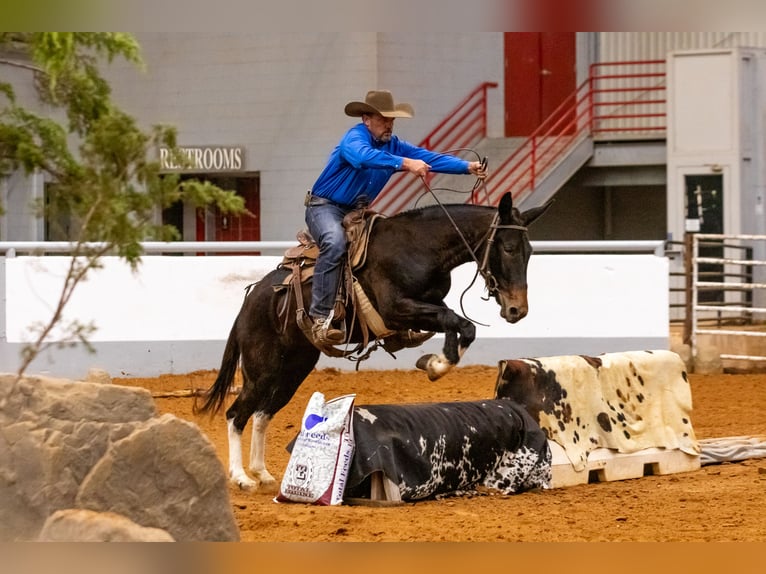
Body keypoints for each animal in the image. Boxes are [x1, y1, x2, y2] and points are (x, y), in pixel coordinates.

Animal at [195, 192, 550, 490]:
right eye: (508, 248)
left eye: (530, 251)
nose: (517, 310)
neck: (419, 246)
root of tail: (252, 298)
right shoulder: (397, 309)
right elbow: (458, 321)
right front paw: (437, 365)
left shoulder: (427, 308)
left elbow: (459, 325)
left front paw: (434, 362)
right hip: (261, 369)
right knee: (237, 413)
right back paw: (241, 477)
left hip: (293, 369)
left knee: (262, 413)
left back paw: (262, 472)